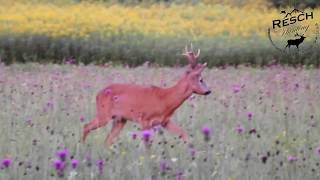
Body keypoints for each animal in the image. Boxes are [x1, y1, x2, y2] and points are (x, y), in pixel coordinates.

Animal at [80, 44, 210, 146]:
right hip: (104, 114)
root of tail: (98, 94)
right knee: (86, 126)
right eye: (201, 79)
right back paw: (82, 146)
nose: (208, 91)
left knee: (107, 140)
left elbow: (183, 134)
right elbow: (147, 144)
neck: (165, 99)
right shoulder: (145, 119)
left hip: (120, 120)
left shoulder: (165, 121)